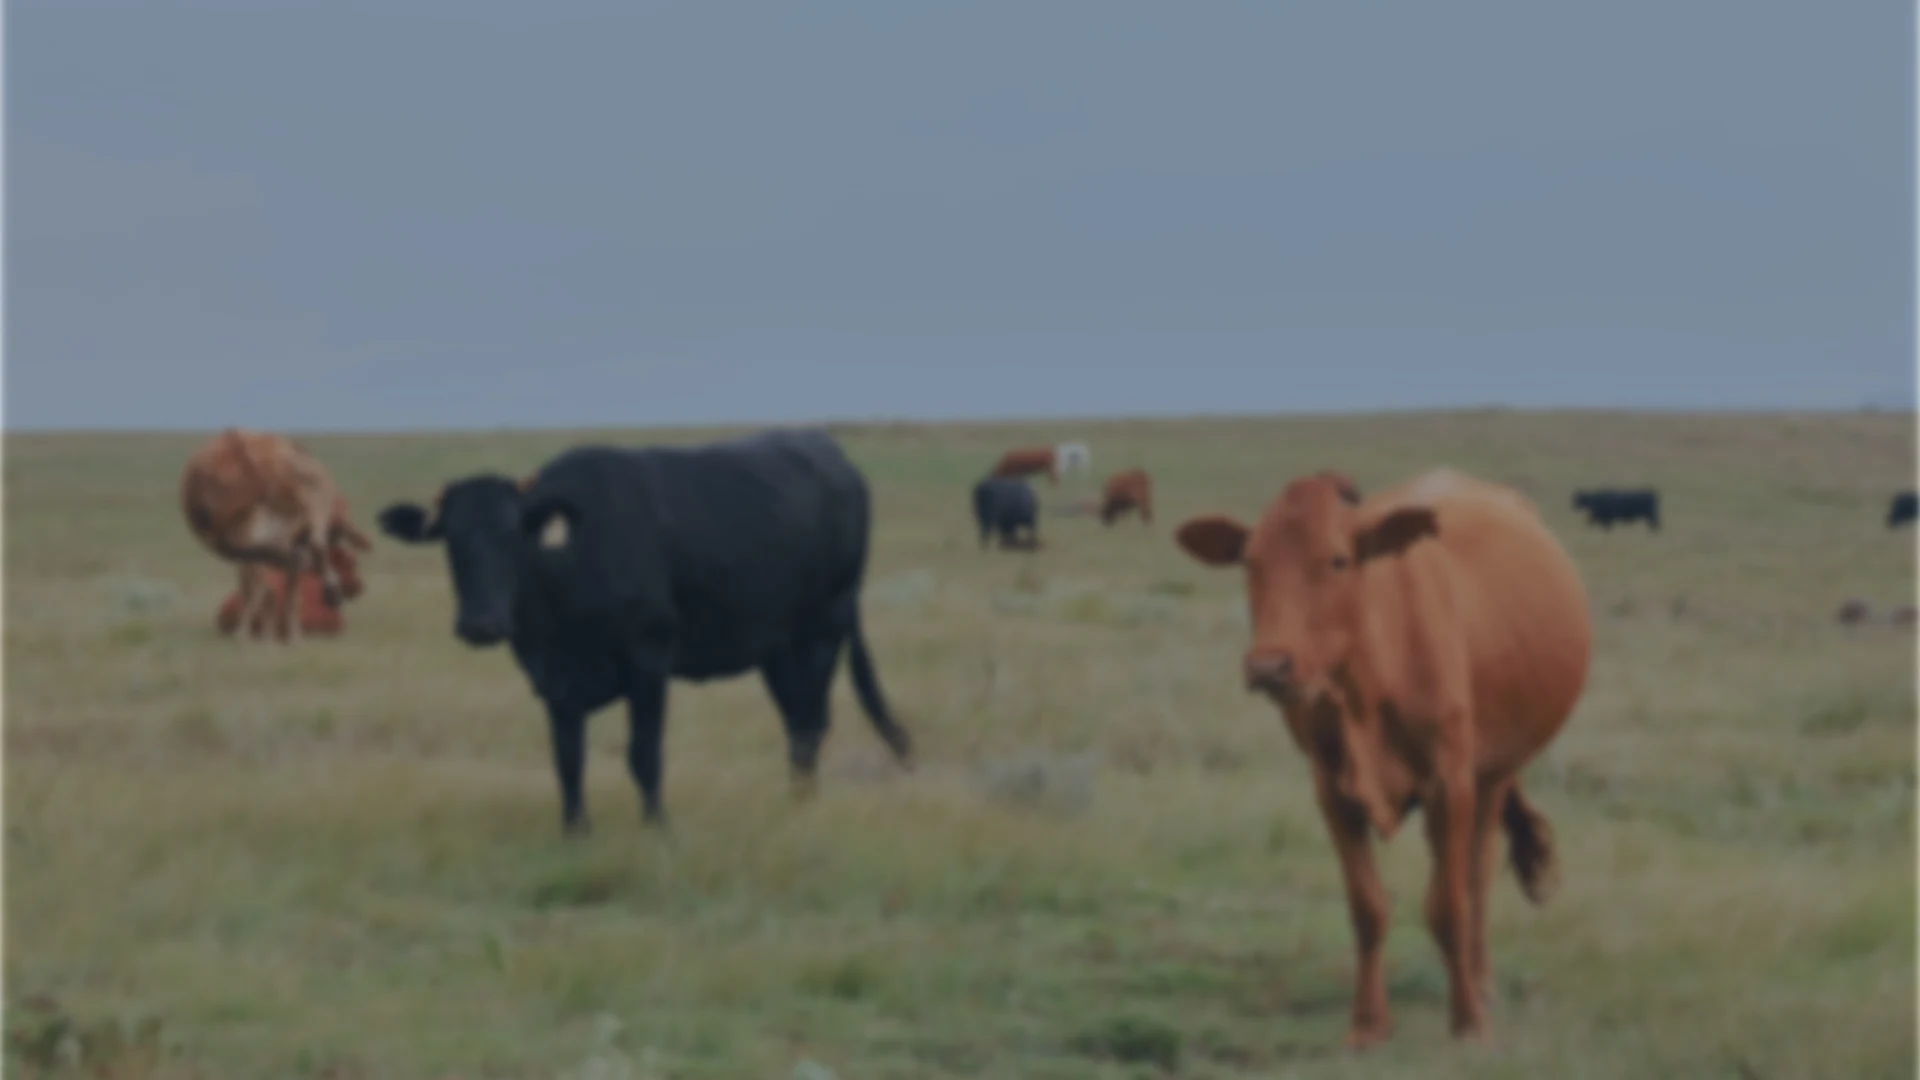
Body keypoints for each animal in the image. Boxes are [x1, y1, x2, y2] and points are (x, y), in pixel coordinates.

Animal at [180, 428, 373, 643]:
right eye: (351, 563)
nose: (359, 587)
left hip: (241, 536)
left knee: (256, 578)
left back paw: (252, 633)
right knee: (298, 554)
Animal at [374, 428, 915, 836]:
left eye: (514, 535)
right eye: (449, 539)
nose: (482, 623)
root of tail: (830, 451)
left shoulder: (649, 661)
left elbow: (644, 754)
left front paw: (658, 829)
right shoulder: (554, 679)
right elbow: (568, 760)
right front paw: (575, 831)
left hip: (823, 628)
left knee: (810, 724)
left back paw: (802, 807)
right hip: (776, 647)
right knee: (796, 719)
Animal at [1173, 467, 1591, 1047]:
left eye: (1337, 560)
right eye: (1250, 562)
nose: (1269, 666)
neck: (1367, 684)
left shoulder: (1450, 785)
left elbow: (1448, 905)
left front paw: (1467, 1021)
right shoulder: (1332, 790)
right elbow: (1368, 907)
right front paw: (1368, 1024)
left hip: (1493, 775)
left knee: (1476, 876)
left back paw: (1481, 984)